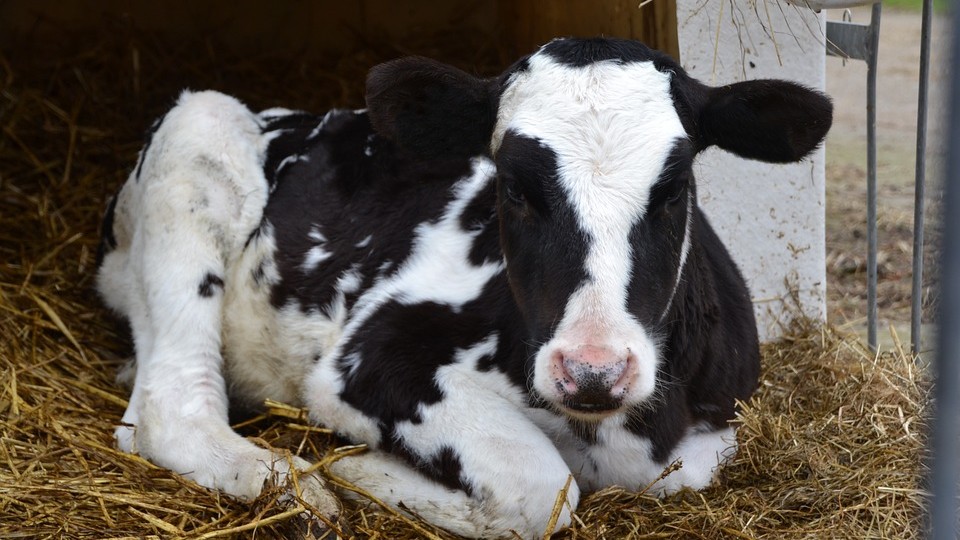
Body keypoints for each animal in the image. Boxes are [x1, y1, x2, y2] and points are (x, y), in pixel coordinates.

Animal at [96, 37, 831, 538]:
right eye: (514, 187)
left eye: (674, 188)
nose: (593, 370)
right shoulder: (371, 356)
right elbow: (542, 488)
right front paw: (359, 472)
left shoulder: (719, 418)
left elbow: (686, 473)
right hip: (200, 129)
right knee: (169, 409)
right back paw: (295, 490)